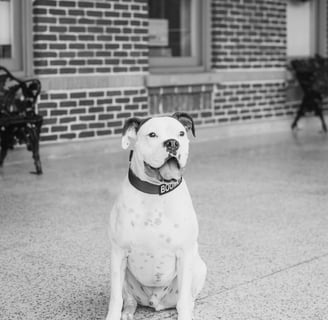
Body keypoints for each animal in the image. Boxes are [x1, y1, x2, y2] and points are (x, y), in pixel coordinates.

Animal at [106, 112, 206, 320]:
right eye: (152, 134)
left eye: (181, 133)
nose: (172, 143)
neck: (155, 192)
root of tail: (156, 302)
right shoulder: (118, 253)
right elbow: (115, 299)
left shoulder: (184, 253)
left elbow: (184, 301)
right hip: (124, 275)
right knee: (129, 300)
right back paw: (127, 312)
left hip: (199, 267)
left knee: (186, 299)